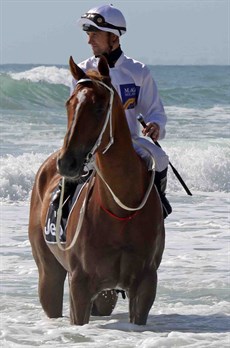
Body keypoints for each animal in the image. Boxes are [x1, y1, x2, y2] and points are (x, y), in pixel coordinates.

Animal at [28, 55, 165, 326]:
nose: (67, 163)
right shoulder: (79, 285)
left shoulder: (145, 285)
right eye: (69, 104)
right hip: (49, 275)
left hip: (105, 295)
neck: (120, 209)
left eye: (99, 108)